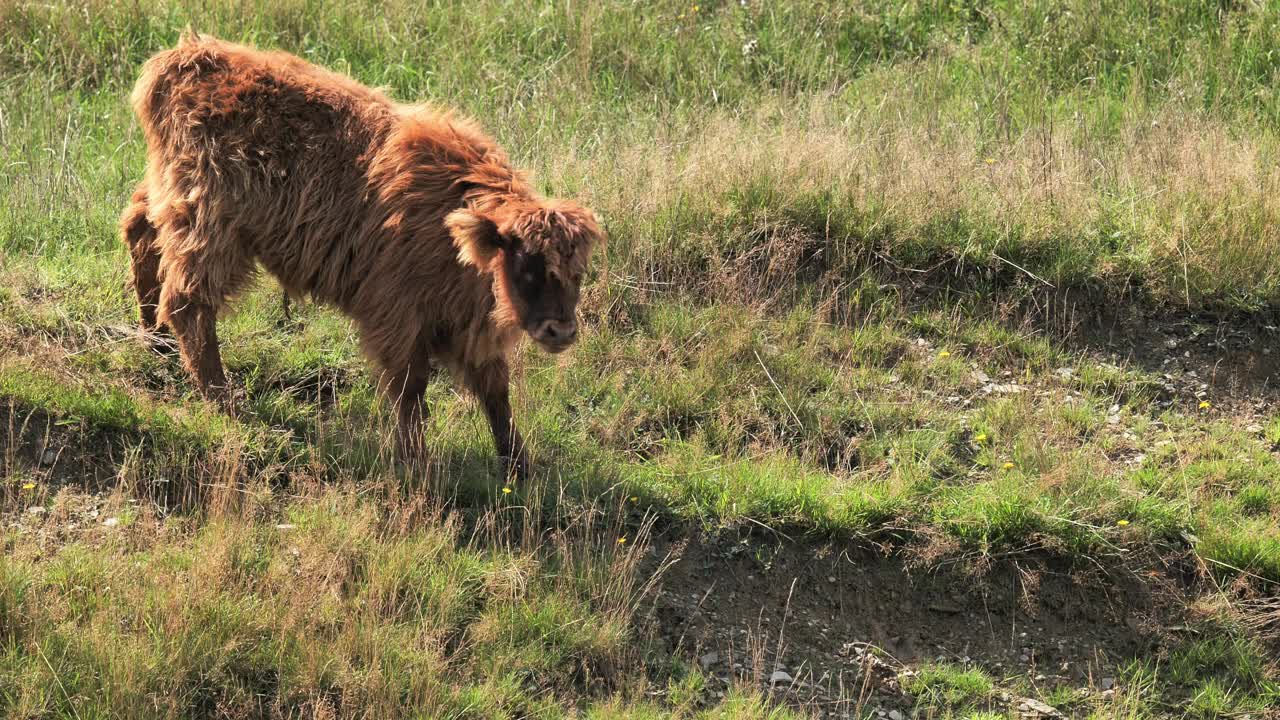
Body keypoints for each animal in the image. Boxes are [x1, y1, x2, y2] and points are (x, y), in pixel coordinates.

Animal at [119, 35, 599, 481]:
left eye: (577, 273)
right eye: (528, 266)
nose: (560, 330)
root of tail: (187, 55)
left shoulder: (467, 329)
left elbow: (496, 395)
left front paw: (518, 467)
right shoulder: (397, 317)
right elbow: (411, 390)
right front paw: (416, 461)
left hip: (171, 196)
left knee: (140, 228)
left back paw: (154, 338)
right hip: (208, 226)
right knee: (189, 301)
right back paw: (222, 397)